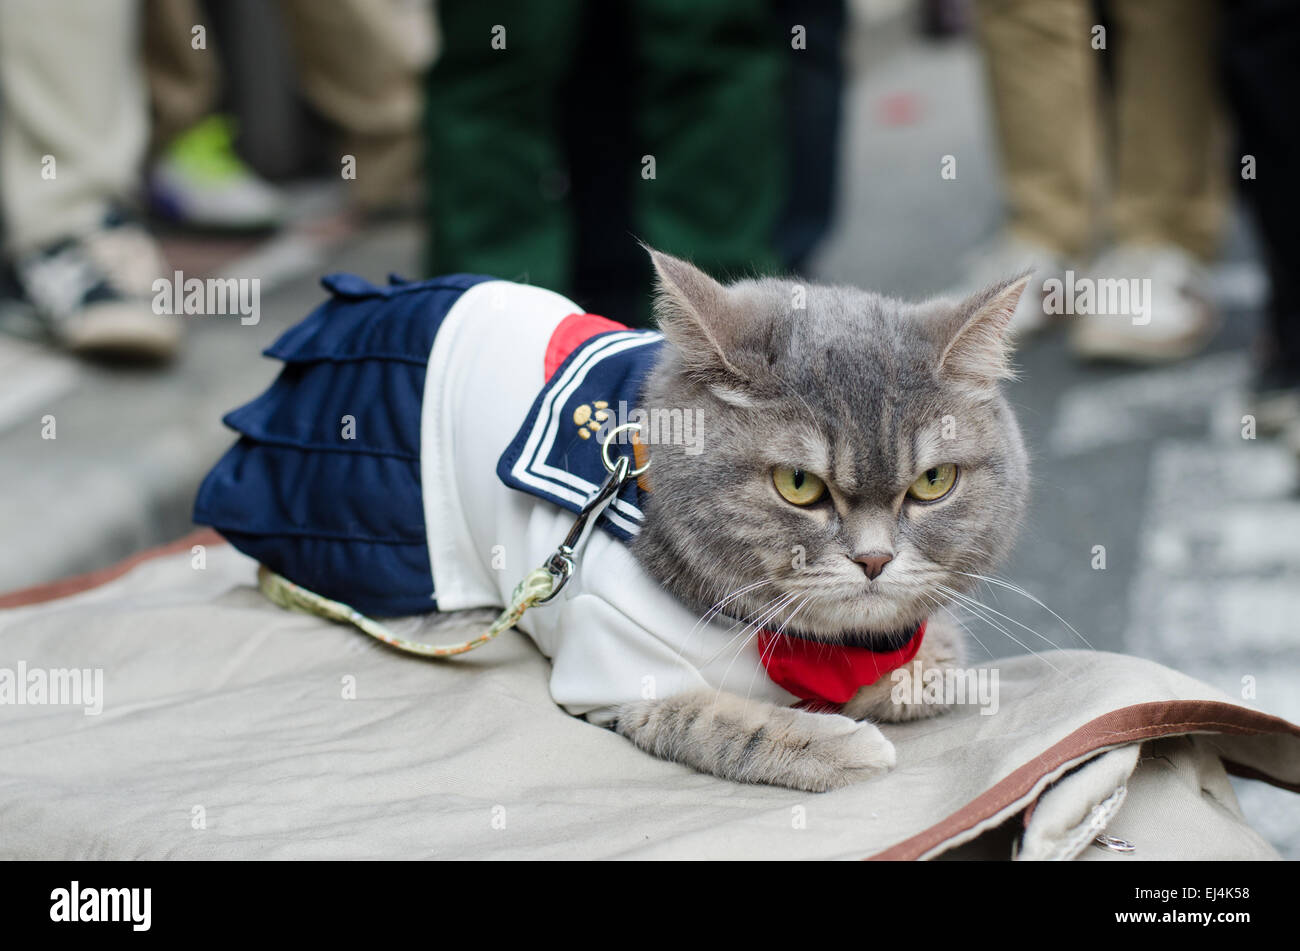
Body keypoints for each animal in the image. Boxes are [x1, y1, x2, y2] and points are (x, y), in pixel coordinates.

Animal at [605, 249, 1024, 789]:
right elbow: (710, 719)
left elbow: (921, 665)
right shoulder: (619, 670)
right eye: (798, 483)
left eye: (933, 481)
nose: (874, 559)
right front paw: (838, 743)